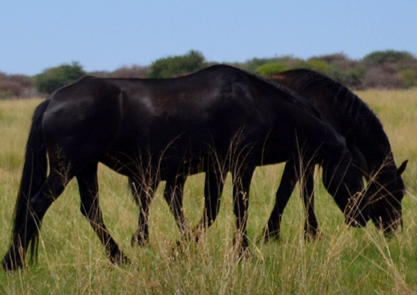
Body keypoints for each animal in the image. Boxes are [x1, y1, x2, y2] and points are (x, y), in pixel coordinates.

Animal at [2, 65, 368, 272]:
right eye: (358, 178)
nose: (362, 218)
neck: (259, 102)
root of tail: (52, 99)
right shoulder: (241, 164)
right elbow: (238, 208)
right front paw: (241, 253)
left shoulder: (217, 168)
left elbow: (210, 211)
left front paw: (183, 249)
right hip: (67, 169)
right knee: (37, 205)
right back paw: (14, 261)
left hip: (85, 168)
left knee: (90, 210)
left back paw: (120, 258)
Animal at [264, 69, 406, 240]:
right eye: (393, 193)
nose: (394, 229)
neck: (328, 107)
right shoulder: (299, 158)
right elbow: (287, 192)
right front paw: (272, 234)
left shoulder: (310, 160)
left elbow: (307, 194)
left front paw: (311, 233)